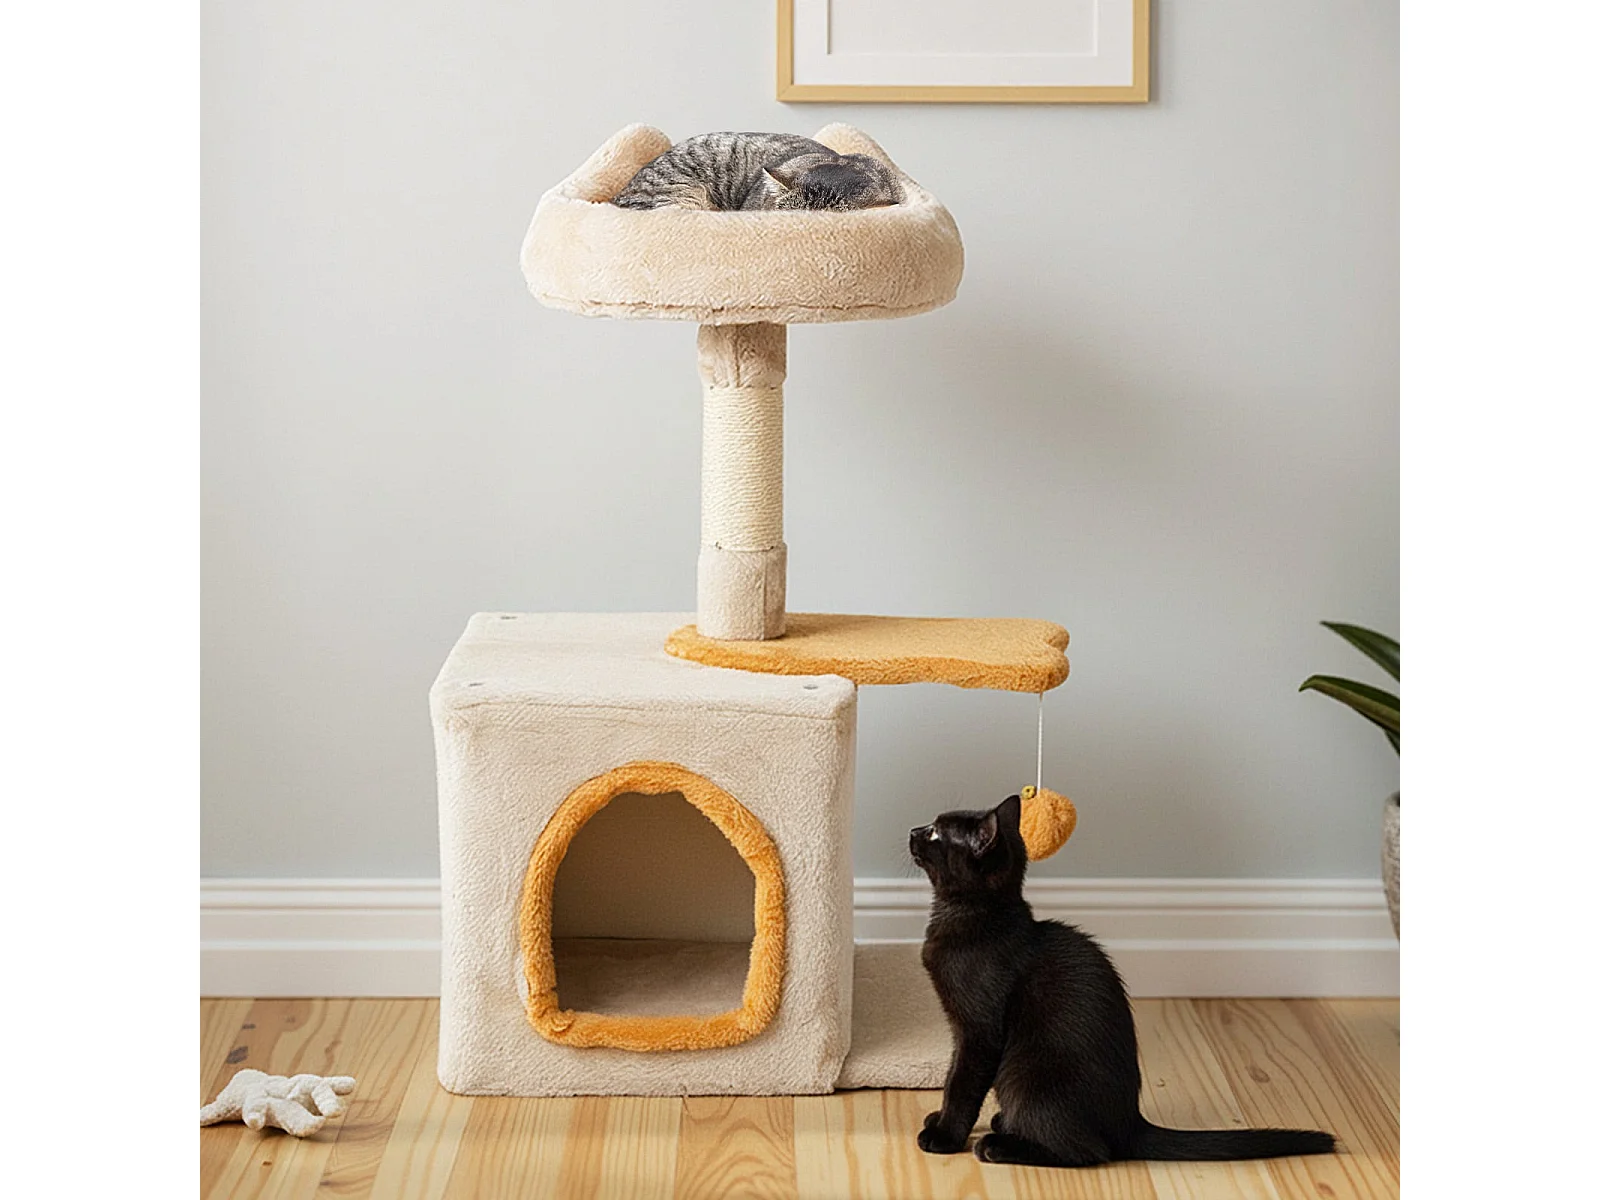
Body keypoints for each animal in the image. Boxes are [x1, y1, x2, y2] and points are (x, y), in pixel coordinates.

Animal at [910, 794, 1338, 1167]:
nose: (913, 829)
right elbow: (951, 1074)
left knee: (1089, 1152)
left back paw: (999, 1145)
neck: (972, 915)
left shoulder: (979, 1031)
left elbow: (962, 1085)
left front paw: (945, 1136)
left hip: (1026, 1075)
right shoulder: (959, 1030)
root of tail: (1130, 1123)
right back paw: (1005, 1127)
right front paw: (941, 1120)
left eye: (936, 833)